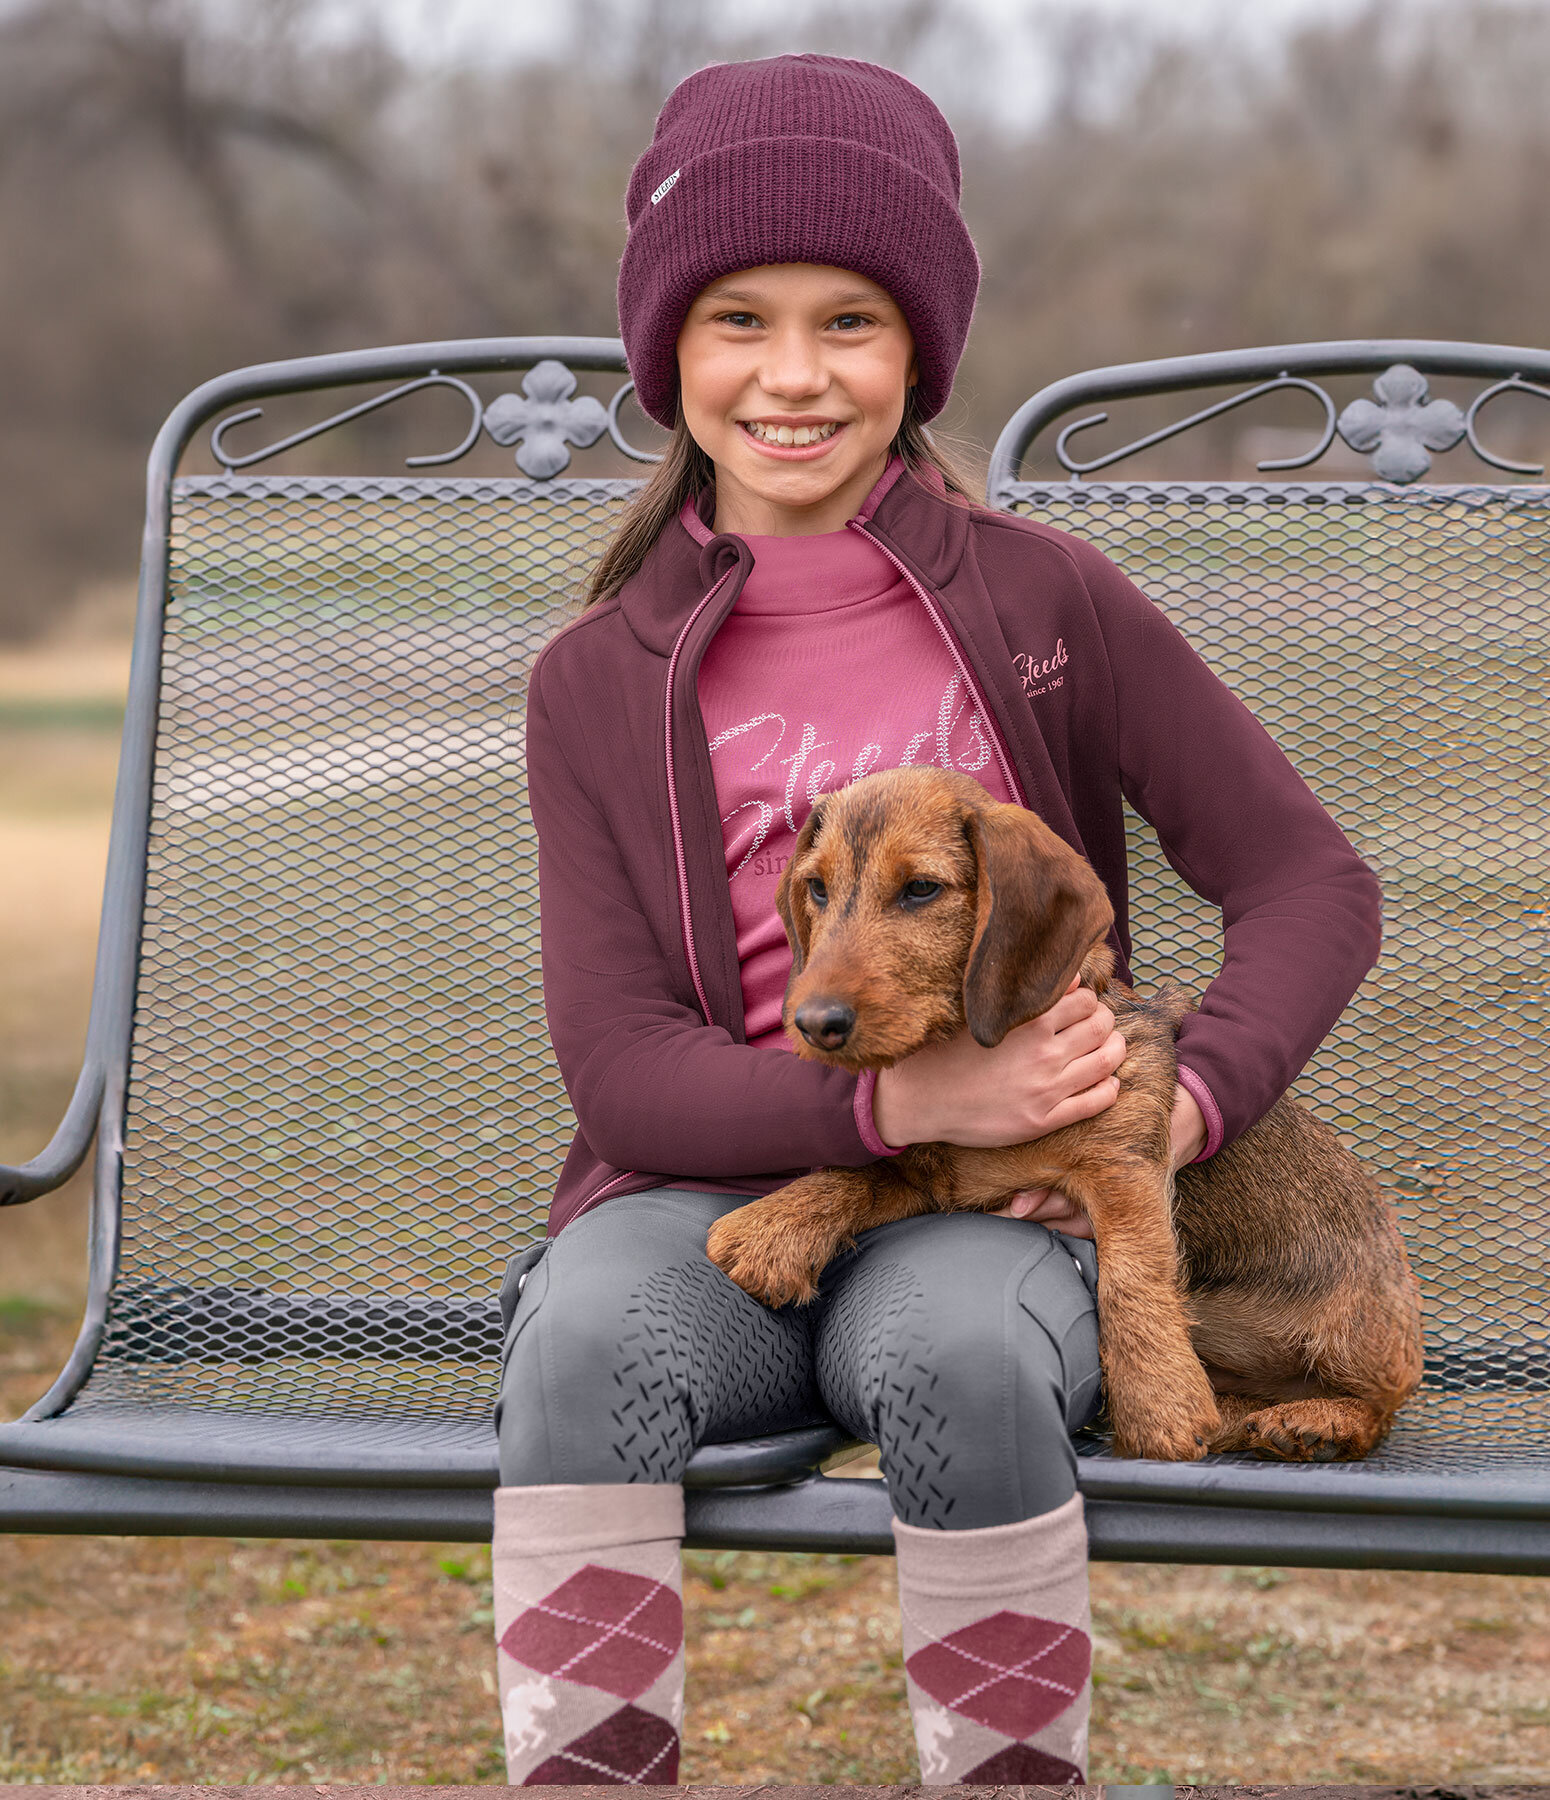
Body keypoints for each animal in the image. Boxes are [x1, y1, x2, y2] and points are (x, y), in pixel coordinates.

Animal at [709, 770, 1418, 1461]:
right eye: (817, 888)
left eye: (920, 889)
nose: (814, 1023)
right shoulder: (933, 1178)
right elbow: (856, 1175)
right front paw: (769, 1229)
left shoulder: (1122, 1168)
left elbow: (1131, 1279)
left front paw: (1159, 1406)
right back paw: (1249, 1417)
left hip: (1357, 1335)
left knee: (1381, 1409)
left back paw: (1319, 1421)